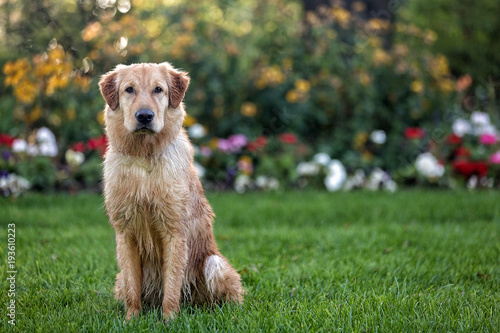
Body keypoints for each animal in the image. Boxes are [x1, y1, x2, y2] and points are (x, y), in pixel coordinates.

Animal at [98, 61, 244, 320]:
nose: (144, 116)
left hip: (214, 264)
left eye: (158, 89)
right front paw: (131, 319)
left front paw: (169, 320)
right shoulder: (125, 232)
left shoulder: (174, 231)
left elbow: (173, 284)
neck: (144, 157)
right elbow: (133, 288)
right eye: (129, 89)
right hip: (119, 280)